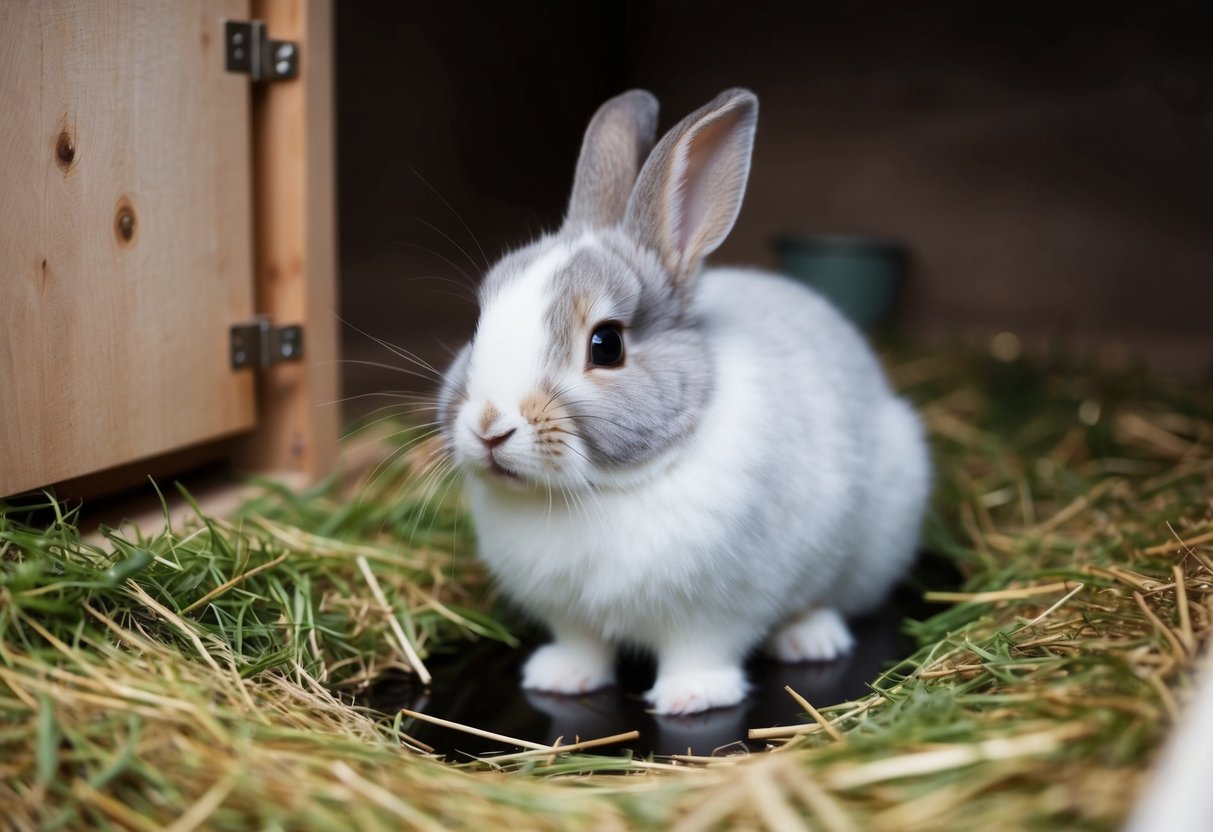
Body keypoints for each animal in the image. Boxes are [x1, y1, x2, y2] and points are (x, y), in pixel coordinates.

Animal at [437, 88, 931, 715]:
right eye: (478, 325)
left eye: (607, 344)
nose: (489, 427)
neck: (599, 491)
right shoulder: (569, 613)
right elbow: (582, 645)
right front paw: (559, 678)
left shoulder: (720, 609)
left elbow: (702, 649)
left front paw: (692, 697)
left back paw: (811, 638)